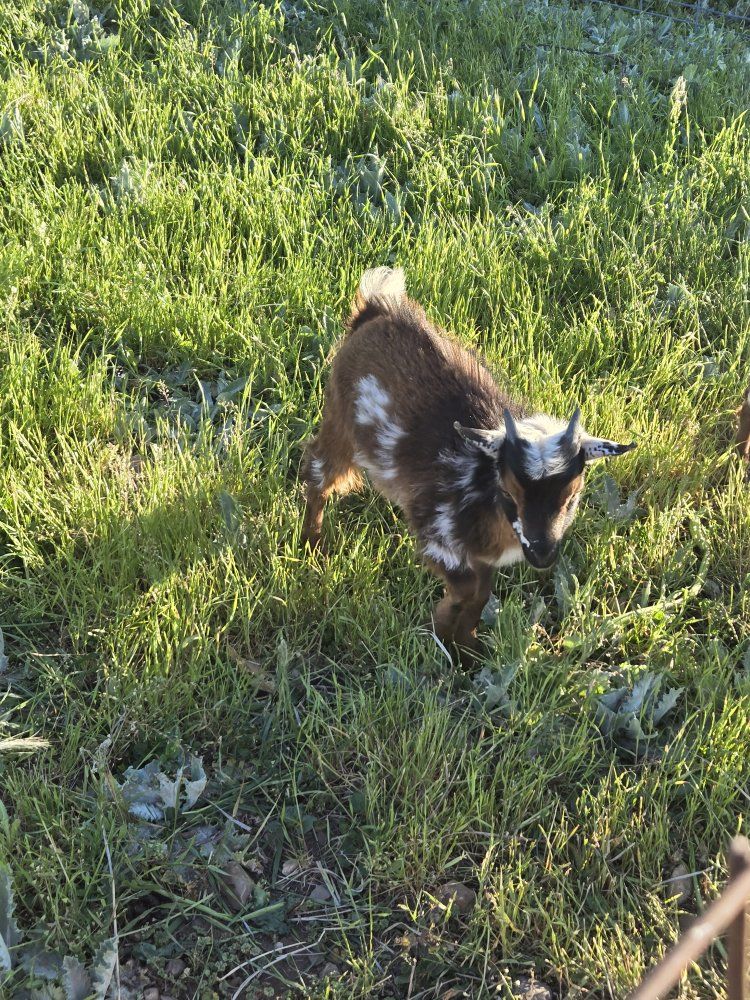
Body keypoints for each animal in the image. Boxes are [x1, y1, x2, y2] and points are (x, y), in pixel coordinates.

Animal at [301, 267, 635, 654]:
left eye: (572, 495)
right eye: (510, 490)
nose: (542, 554)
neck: (478, 484)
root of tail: (377, 309)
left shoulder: (485, 558)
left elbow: (482, 595)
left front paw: (467, 647)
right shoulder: (437, 534)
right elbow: (467, 590)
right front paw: (440, 631)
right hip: (340, 419)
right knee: (318, 471)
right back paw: (313, 546)